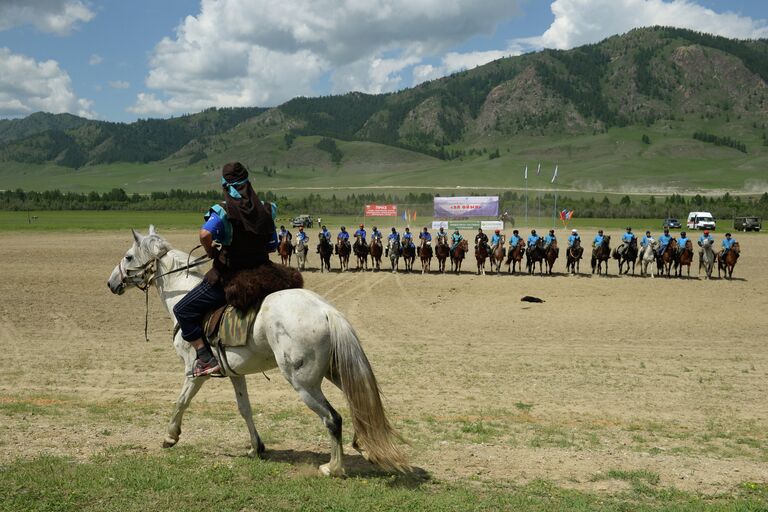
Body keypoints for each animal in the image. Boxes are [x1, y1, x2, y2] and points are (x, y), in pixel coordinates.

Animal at [109, 227, 412, 476]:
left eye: (128, 257)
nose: (111, 284)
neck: (181, 296)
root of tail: (327, 311)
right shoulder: (234, 374)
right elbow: (245, 409)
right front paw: (256, 447)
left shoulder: (194, 372)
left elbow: (181, 401)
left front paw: (170, 437)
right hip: (333, 372)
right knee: (356, 402)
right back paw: (365, 448)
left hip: (303, 383)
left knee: (333, 418)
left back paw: (333, 467)